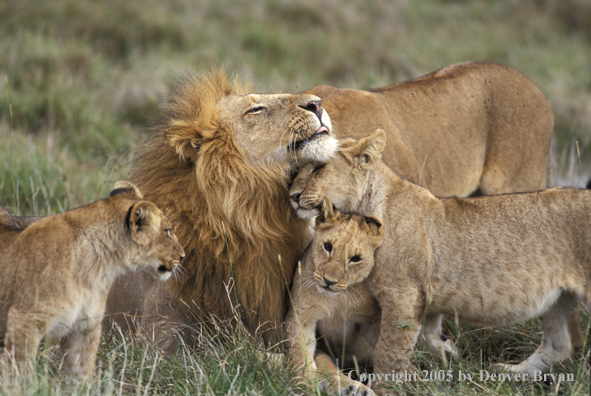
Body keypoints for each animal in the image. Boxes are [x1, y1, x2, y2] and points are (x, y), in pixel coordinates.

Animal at [0, 182, 185, 380]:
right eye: (167, 231)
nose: (183, 256)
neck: (98, 266)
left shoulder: (84, 328)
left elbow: (82, 375)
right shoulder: (24, 320)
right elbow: (21, 373)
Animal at [290, 129, 588, 390]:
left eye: (318, 169)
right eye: (297, 169)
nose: (292, 195)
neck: (368, 205)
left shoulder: (403, 293)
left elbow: (388, 350)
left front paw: (384, 388)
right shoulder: (423, 298)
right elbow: (424, 336)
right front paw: (445, 355)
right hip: (557, 299)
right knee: (563, 344)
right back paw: (510, 373)